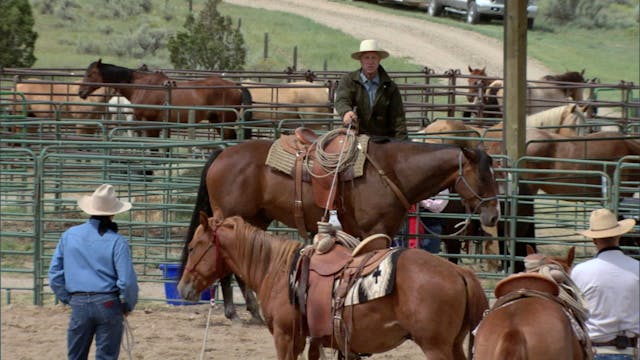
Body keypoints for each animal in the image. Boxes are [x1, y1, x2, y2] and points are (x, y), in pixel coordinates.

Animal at [77, 59, 252, 139]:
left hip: (226, 122)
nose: (80, 92)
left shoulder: (151, 123)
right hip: (216, 122)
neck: (142, 86)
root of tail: (236, 86)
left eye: (90, 74)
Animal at [178, 211, 488, 360]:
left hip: (436, 347)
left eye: (193, 247)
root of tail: (460, 272)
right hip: (454, 345)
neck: (277, 269)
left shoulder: (286, 337)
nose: (182, 288)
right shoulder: (313, 340)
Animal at [182, 134, 502, 324]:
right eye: (483, 177)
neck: (391, 171)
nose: (493, 216)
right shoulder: (376, 230)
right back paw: (234, 311)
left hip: (256, 218)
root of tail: (222, 154)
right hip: (231, 215)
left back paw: (250, 310)